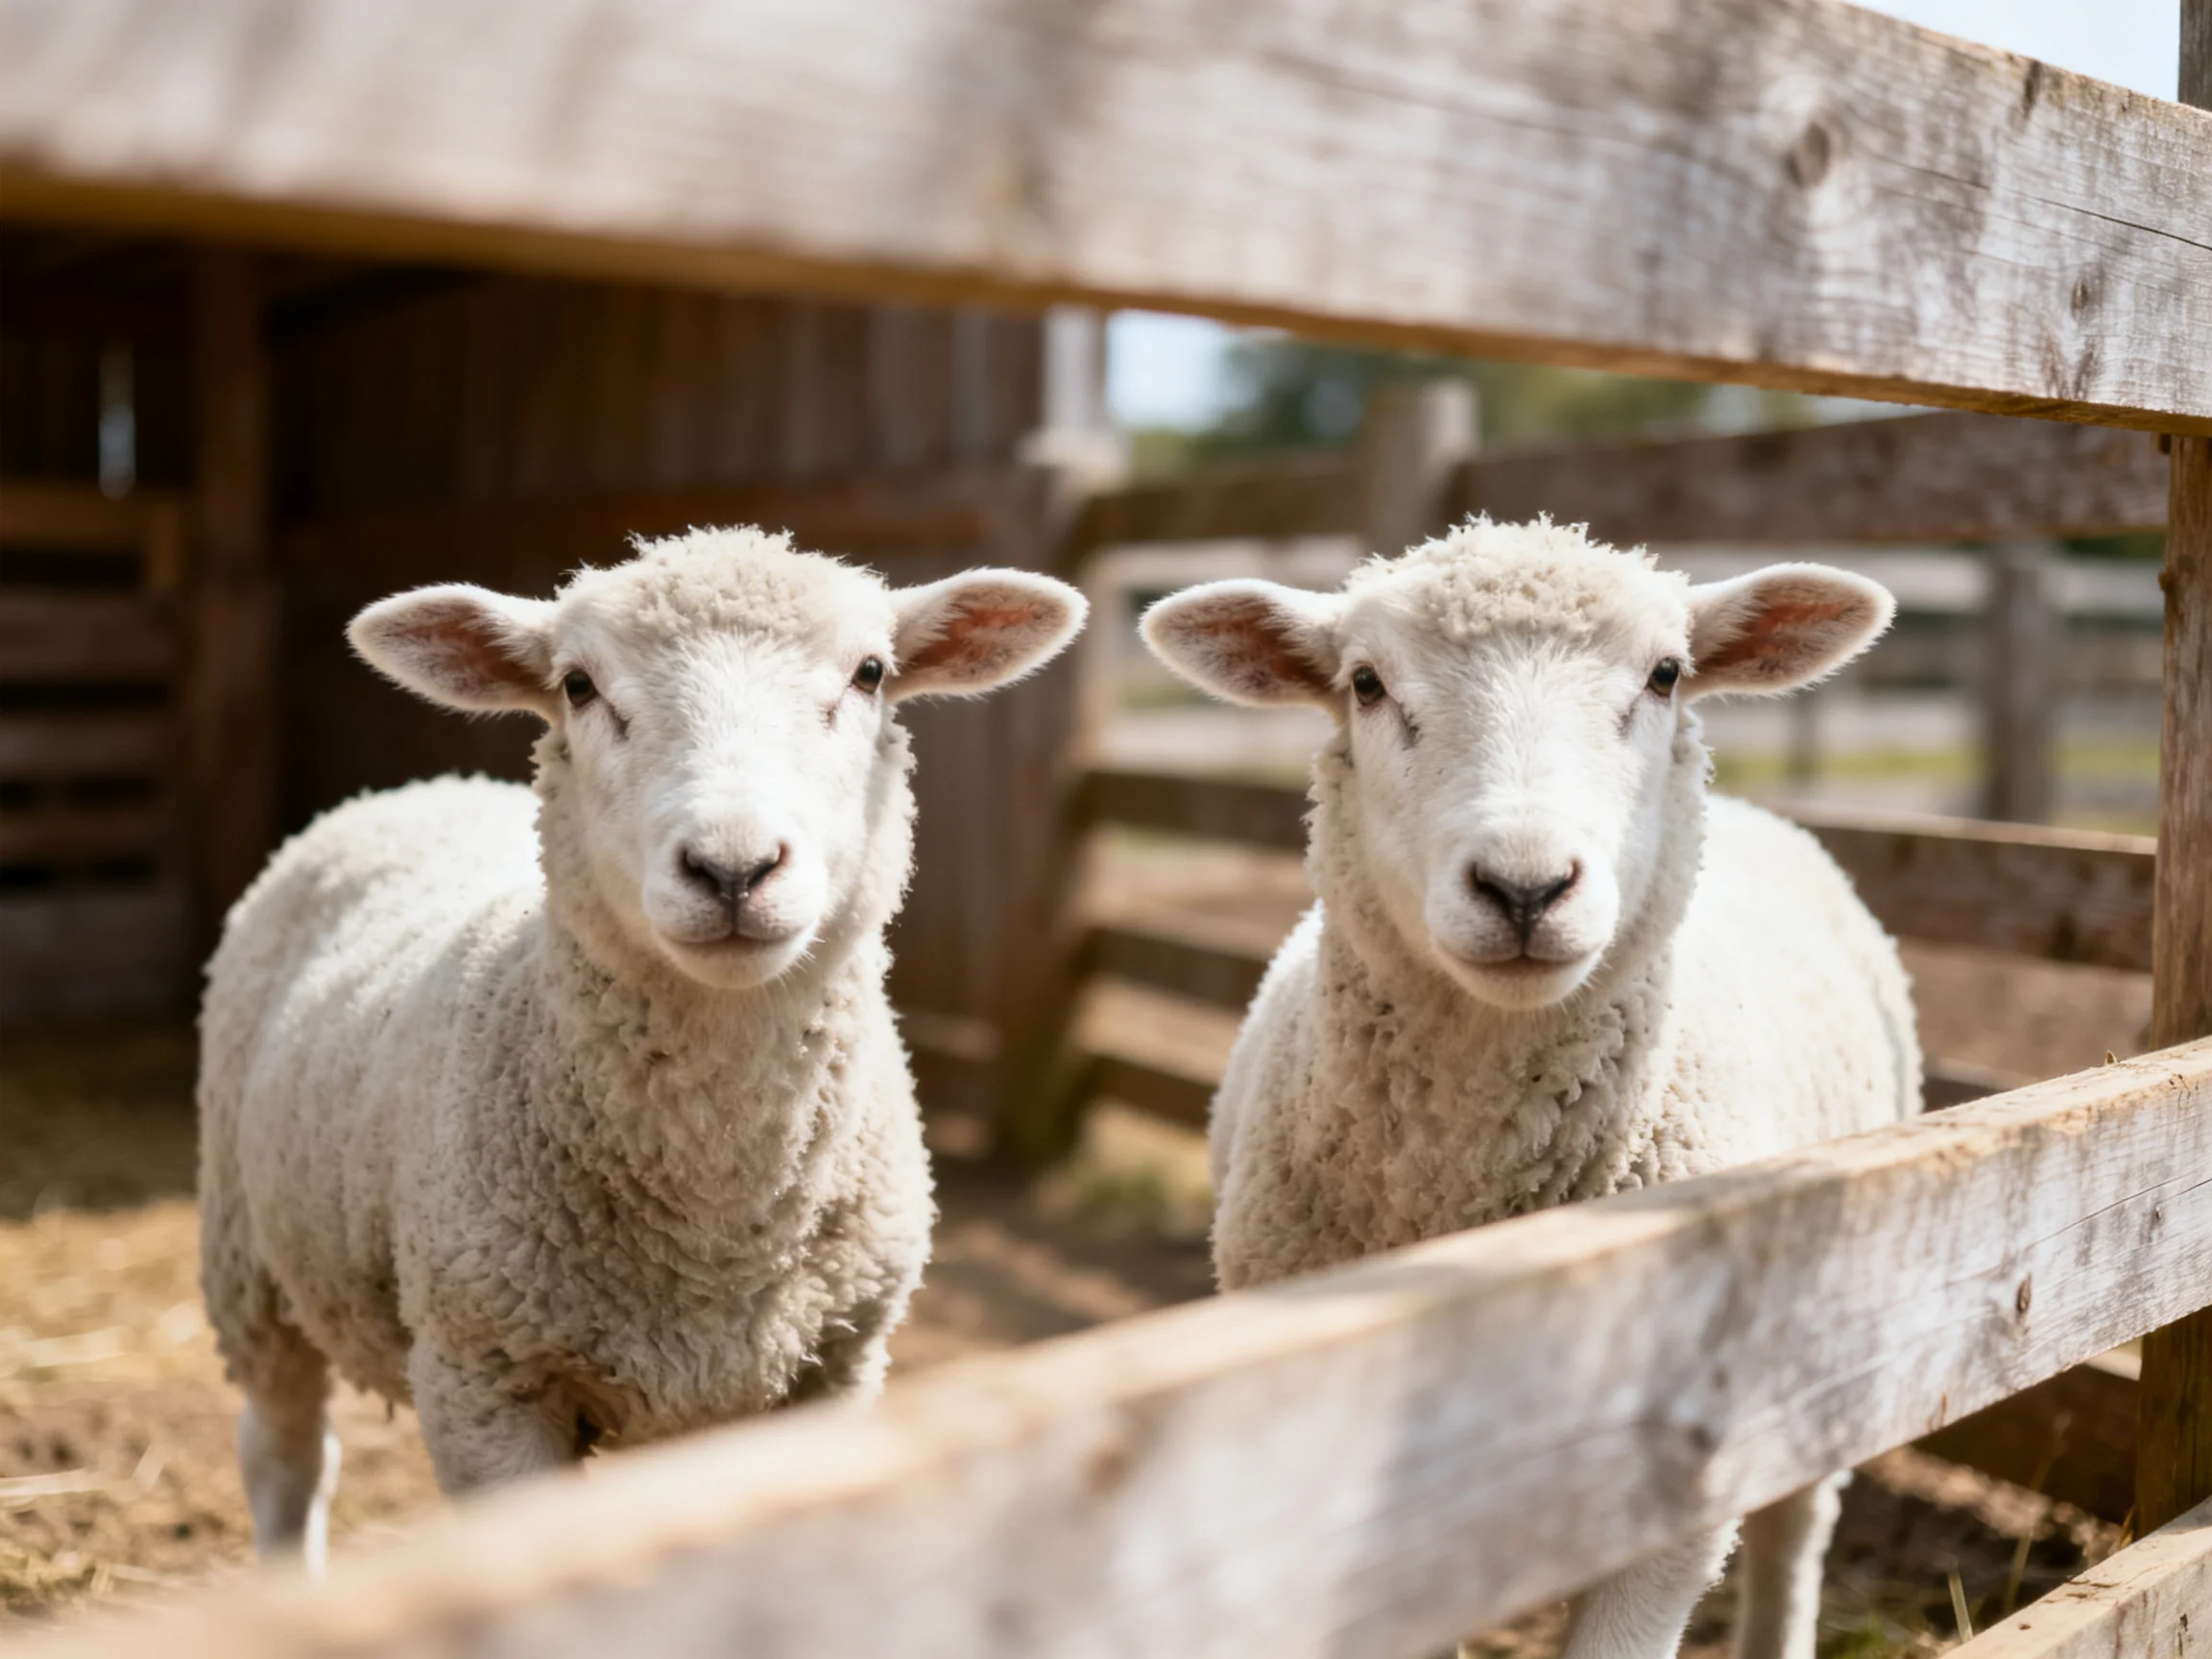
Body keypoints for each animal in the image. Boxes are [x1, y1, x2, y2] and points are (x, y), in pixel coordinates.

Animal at [197, 525, 1085, 1573]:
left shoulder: (832, 1367)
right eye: (578, 684)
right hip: (249, 1263)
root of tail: (410, 790)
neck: (714, 1215)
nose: (733, 869)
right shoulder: (485, 1381)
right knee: (285, 1457)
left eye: (870, 672)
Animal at [1139, 518, 1918, 1659]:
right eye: (1366, 682)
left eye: (1667, 672)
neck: (1474, 1212)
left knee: (1795, 1529)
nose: (1524, 887)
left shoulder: (1675, 1495)